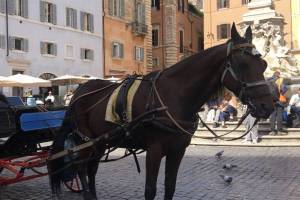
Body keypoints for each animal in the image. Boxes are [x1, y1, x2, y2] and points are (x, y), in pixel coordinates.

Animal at [48, 23, 276, 200]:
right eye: (243, 64)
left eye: (263, 64)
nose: (267, 105)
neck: (174, 95)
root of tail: (79, 91)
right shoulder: (154, 150)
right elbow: (150, 189)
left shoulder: (178, 150)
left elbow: (170, 186)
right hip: (84, 140)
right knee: (81, 167)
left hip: (100, 141)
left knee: (92, 168)